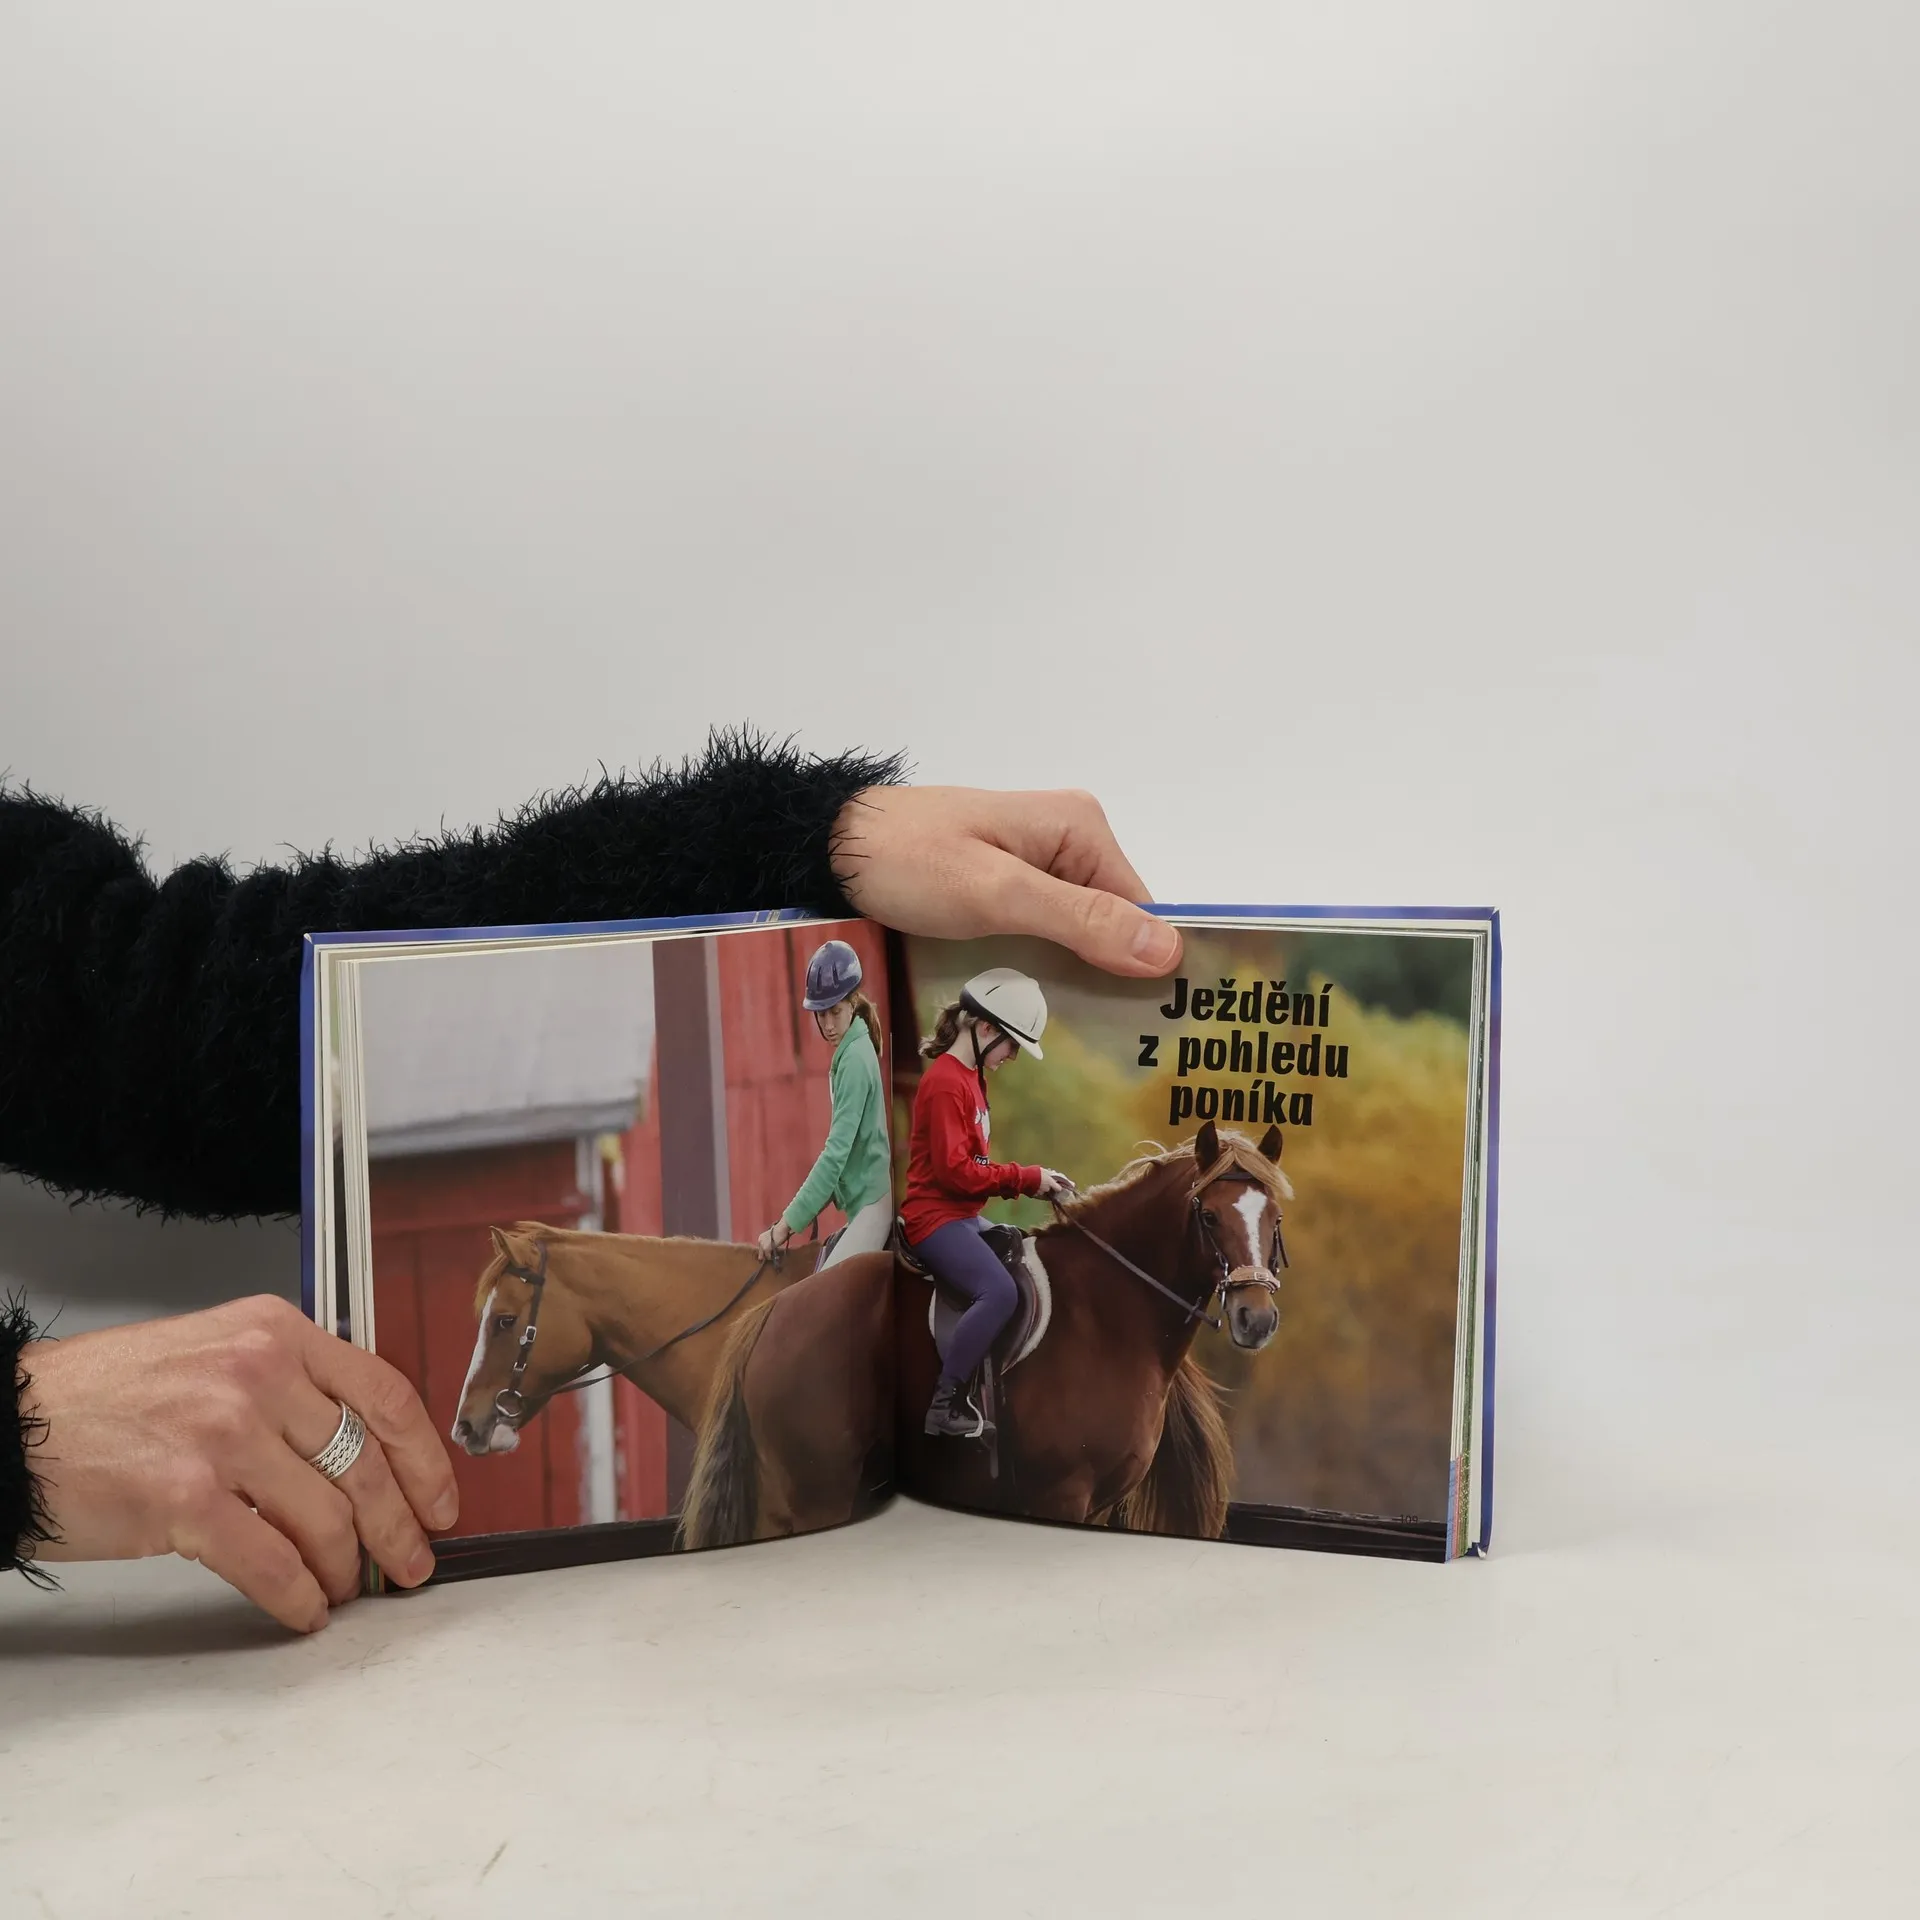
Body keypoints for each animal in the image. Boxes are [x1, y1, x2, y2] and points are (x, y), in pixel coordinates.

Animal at [679, 1120, 1291, 1548]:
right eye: (1209, 1217)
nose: (1256, 1319)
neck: (1108, 1310)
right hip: (814, 1494)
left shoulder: (1098, 1505)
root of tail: (774, 1312)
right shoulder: (1064, 1493)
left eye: (1273, 1219)